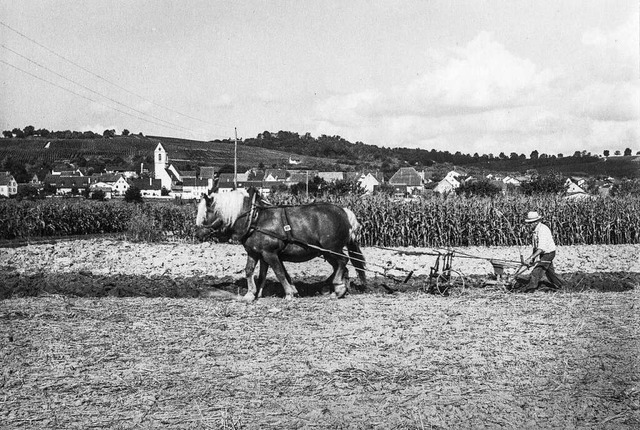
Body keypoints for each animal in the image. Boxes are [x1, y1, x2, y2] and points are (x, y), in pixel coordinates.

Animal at [194, 188, 364, 302]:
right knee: (341, 267)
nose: (197, 234)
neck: (255, 219)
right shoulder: (256, 252)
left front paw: (289, 293)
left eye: (205, 213)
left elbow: (279, 272)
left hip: (332, 249)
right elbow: (252, 271)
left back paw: (338, 287)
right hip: (326, 252)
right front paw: (252, 294)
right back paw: (335, 289)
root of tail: (345, 212)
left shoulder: (270, 253)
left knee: (343, 262)